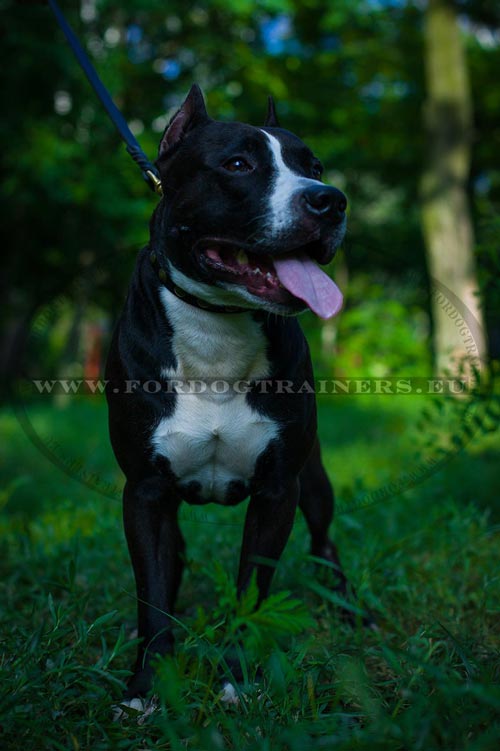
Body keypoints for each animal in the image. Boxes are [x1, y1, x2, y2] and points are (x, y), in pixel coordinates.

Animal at [106, 86, 352, 700]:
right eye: (238, 165)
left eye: (314, 167)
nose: (330, 200)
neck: (218, 330)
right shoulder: (144, 493)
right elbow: (151, 591)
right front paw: (147, 683)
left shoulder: (278, 490)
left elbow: (251, 589)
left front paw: (237, 676)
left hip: (315, 480)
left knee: (325, 541)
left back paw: (349, 610)